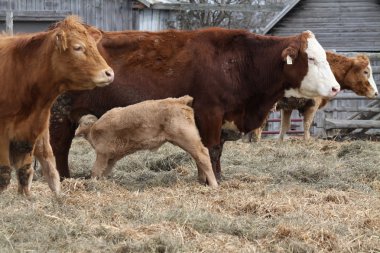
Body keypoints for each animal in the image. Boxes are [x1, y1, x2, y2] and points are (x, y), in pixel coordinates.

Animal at [0, 16, 115, 196]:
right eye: (77, 47)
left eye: (94, 45)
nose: (109, 73)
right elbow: (4, 173)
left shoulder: (32, 130)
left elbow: (25, 169)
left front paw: (25, 196)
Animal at [75, 96, 217, 187]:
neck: (94, 129)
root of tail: (178, 100)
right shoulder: (111, 158)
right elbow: (104, 172)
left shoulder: (102, 153)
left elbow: (95, 171)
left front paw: (92, 184)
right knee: (198, 158)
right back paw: (200, 181)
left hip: (186, 137)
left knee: (203, 155)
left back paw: (214, 185)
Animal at [246, 52, 378, 141]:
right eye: (366, 72)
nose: (376, 93)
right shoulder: (313, 104)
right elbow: (307, 124)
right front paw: (307, 141)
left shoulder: (288, 107)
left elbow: (284, 127)